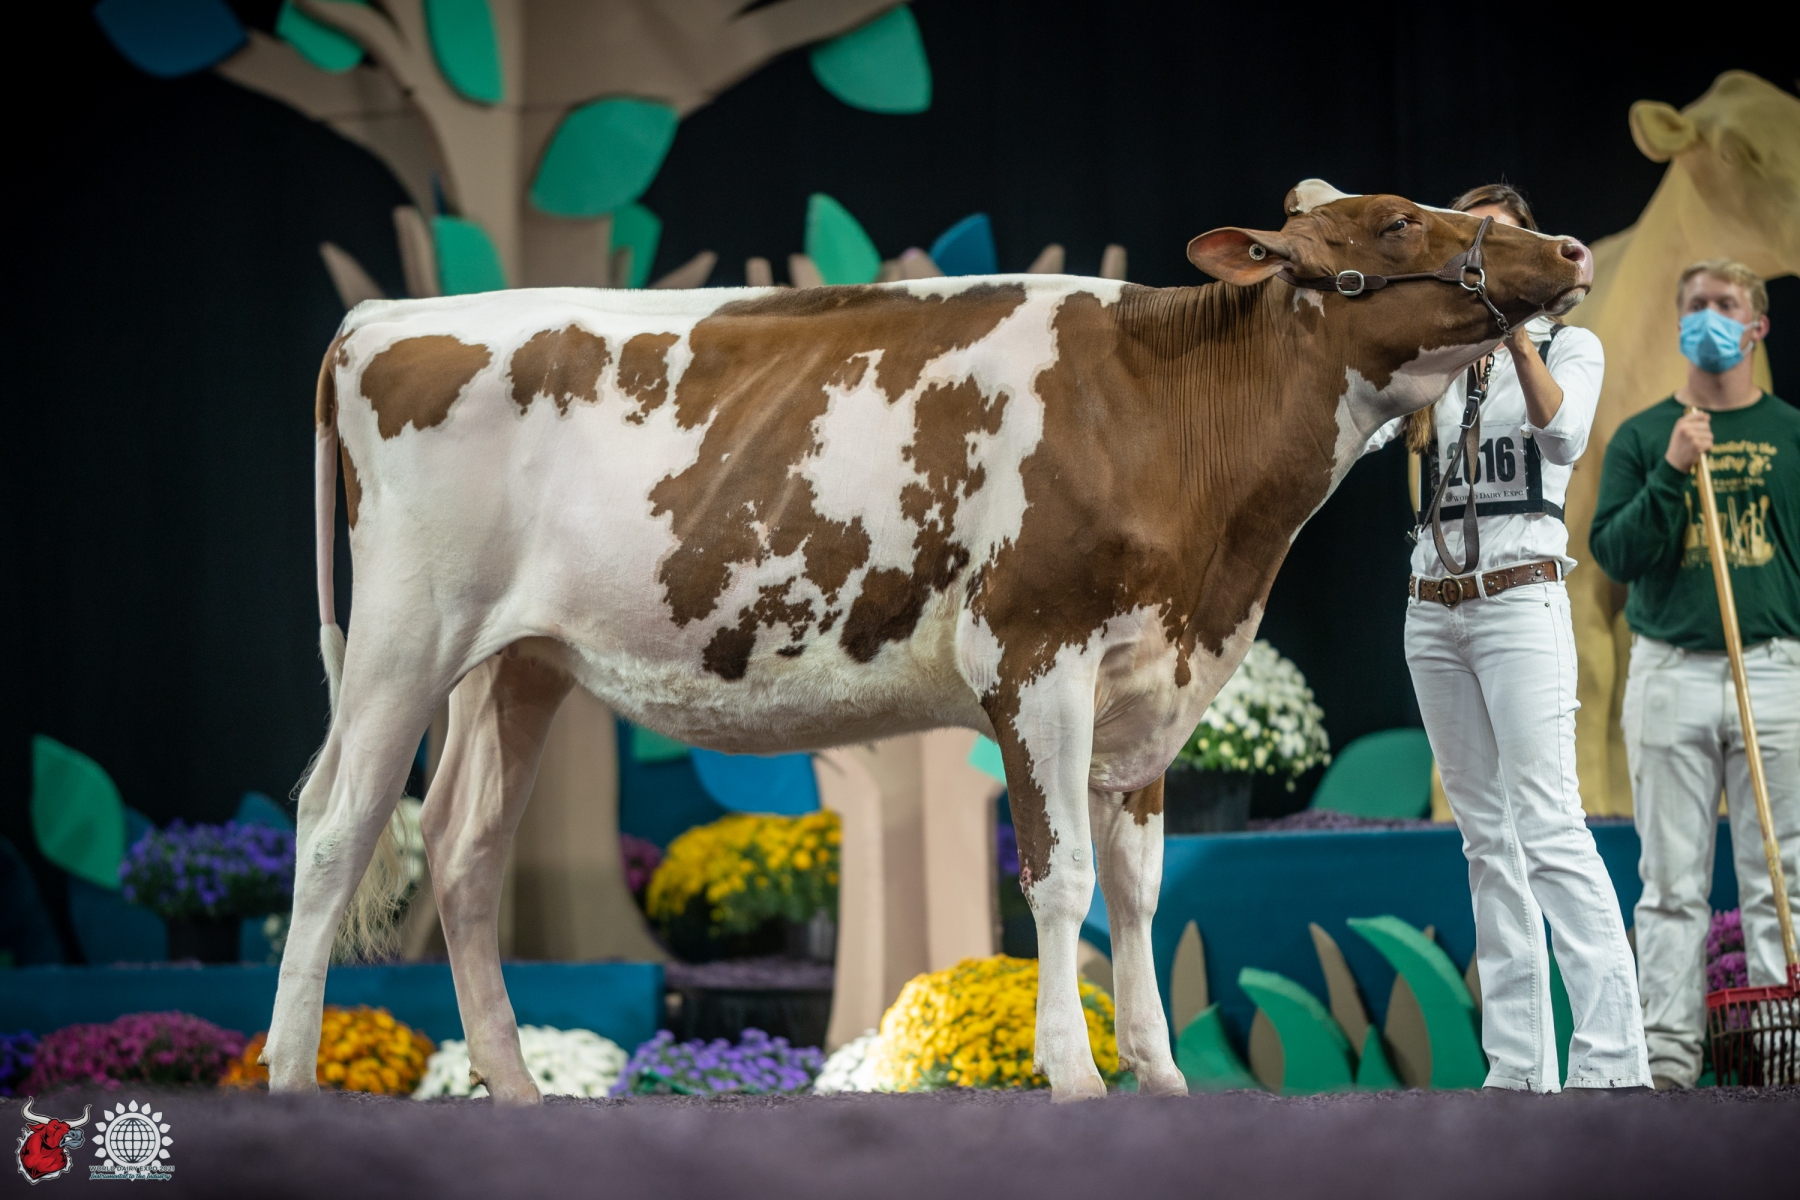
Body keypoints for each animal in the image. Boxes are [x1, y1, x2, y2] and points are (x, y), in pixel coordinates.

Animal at [265, 180, 1592, 1102]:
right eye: (1399, 224)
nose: (1573, 248)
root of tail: (387, 316)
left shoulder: (1152, 680)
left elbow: (1142, 886)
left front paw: (1163, 1074)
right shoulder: (1036, 658)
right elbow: (1061, 881)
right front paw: (1075, 1073)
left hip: (518, 662)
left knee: (463, 848)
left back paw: (515, 1088)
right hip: (402, 633)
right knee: (335, 831)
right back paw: (289, 1075)